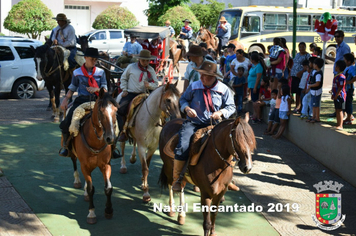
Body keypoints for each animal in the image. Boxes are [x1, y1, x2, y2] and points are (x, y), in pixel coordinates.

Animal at [69, 88, 119, 223]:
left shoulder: (105, 165)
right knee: (74, 161)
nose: (110, 138)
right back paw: (77, 180)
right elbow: (91, 189)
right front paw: (91, 213)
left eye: (116, 111)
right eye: (101, 111)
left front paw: (109, 210)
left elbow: (108, 188)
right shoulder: (85, 166)